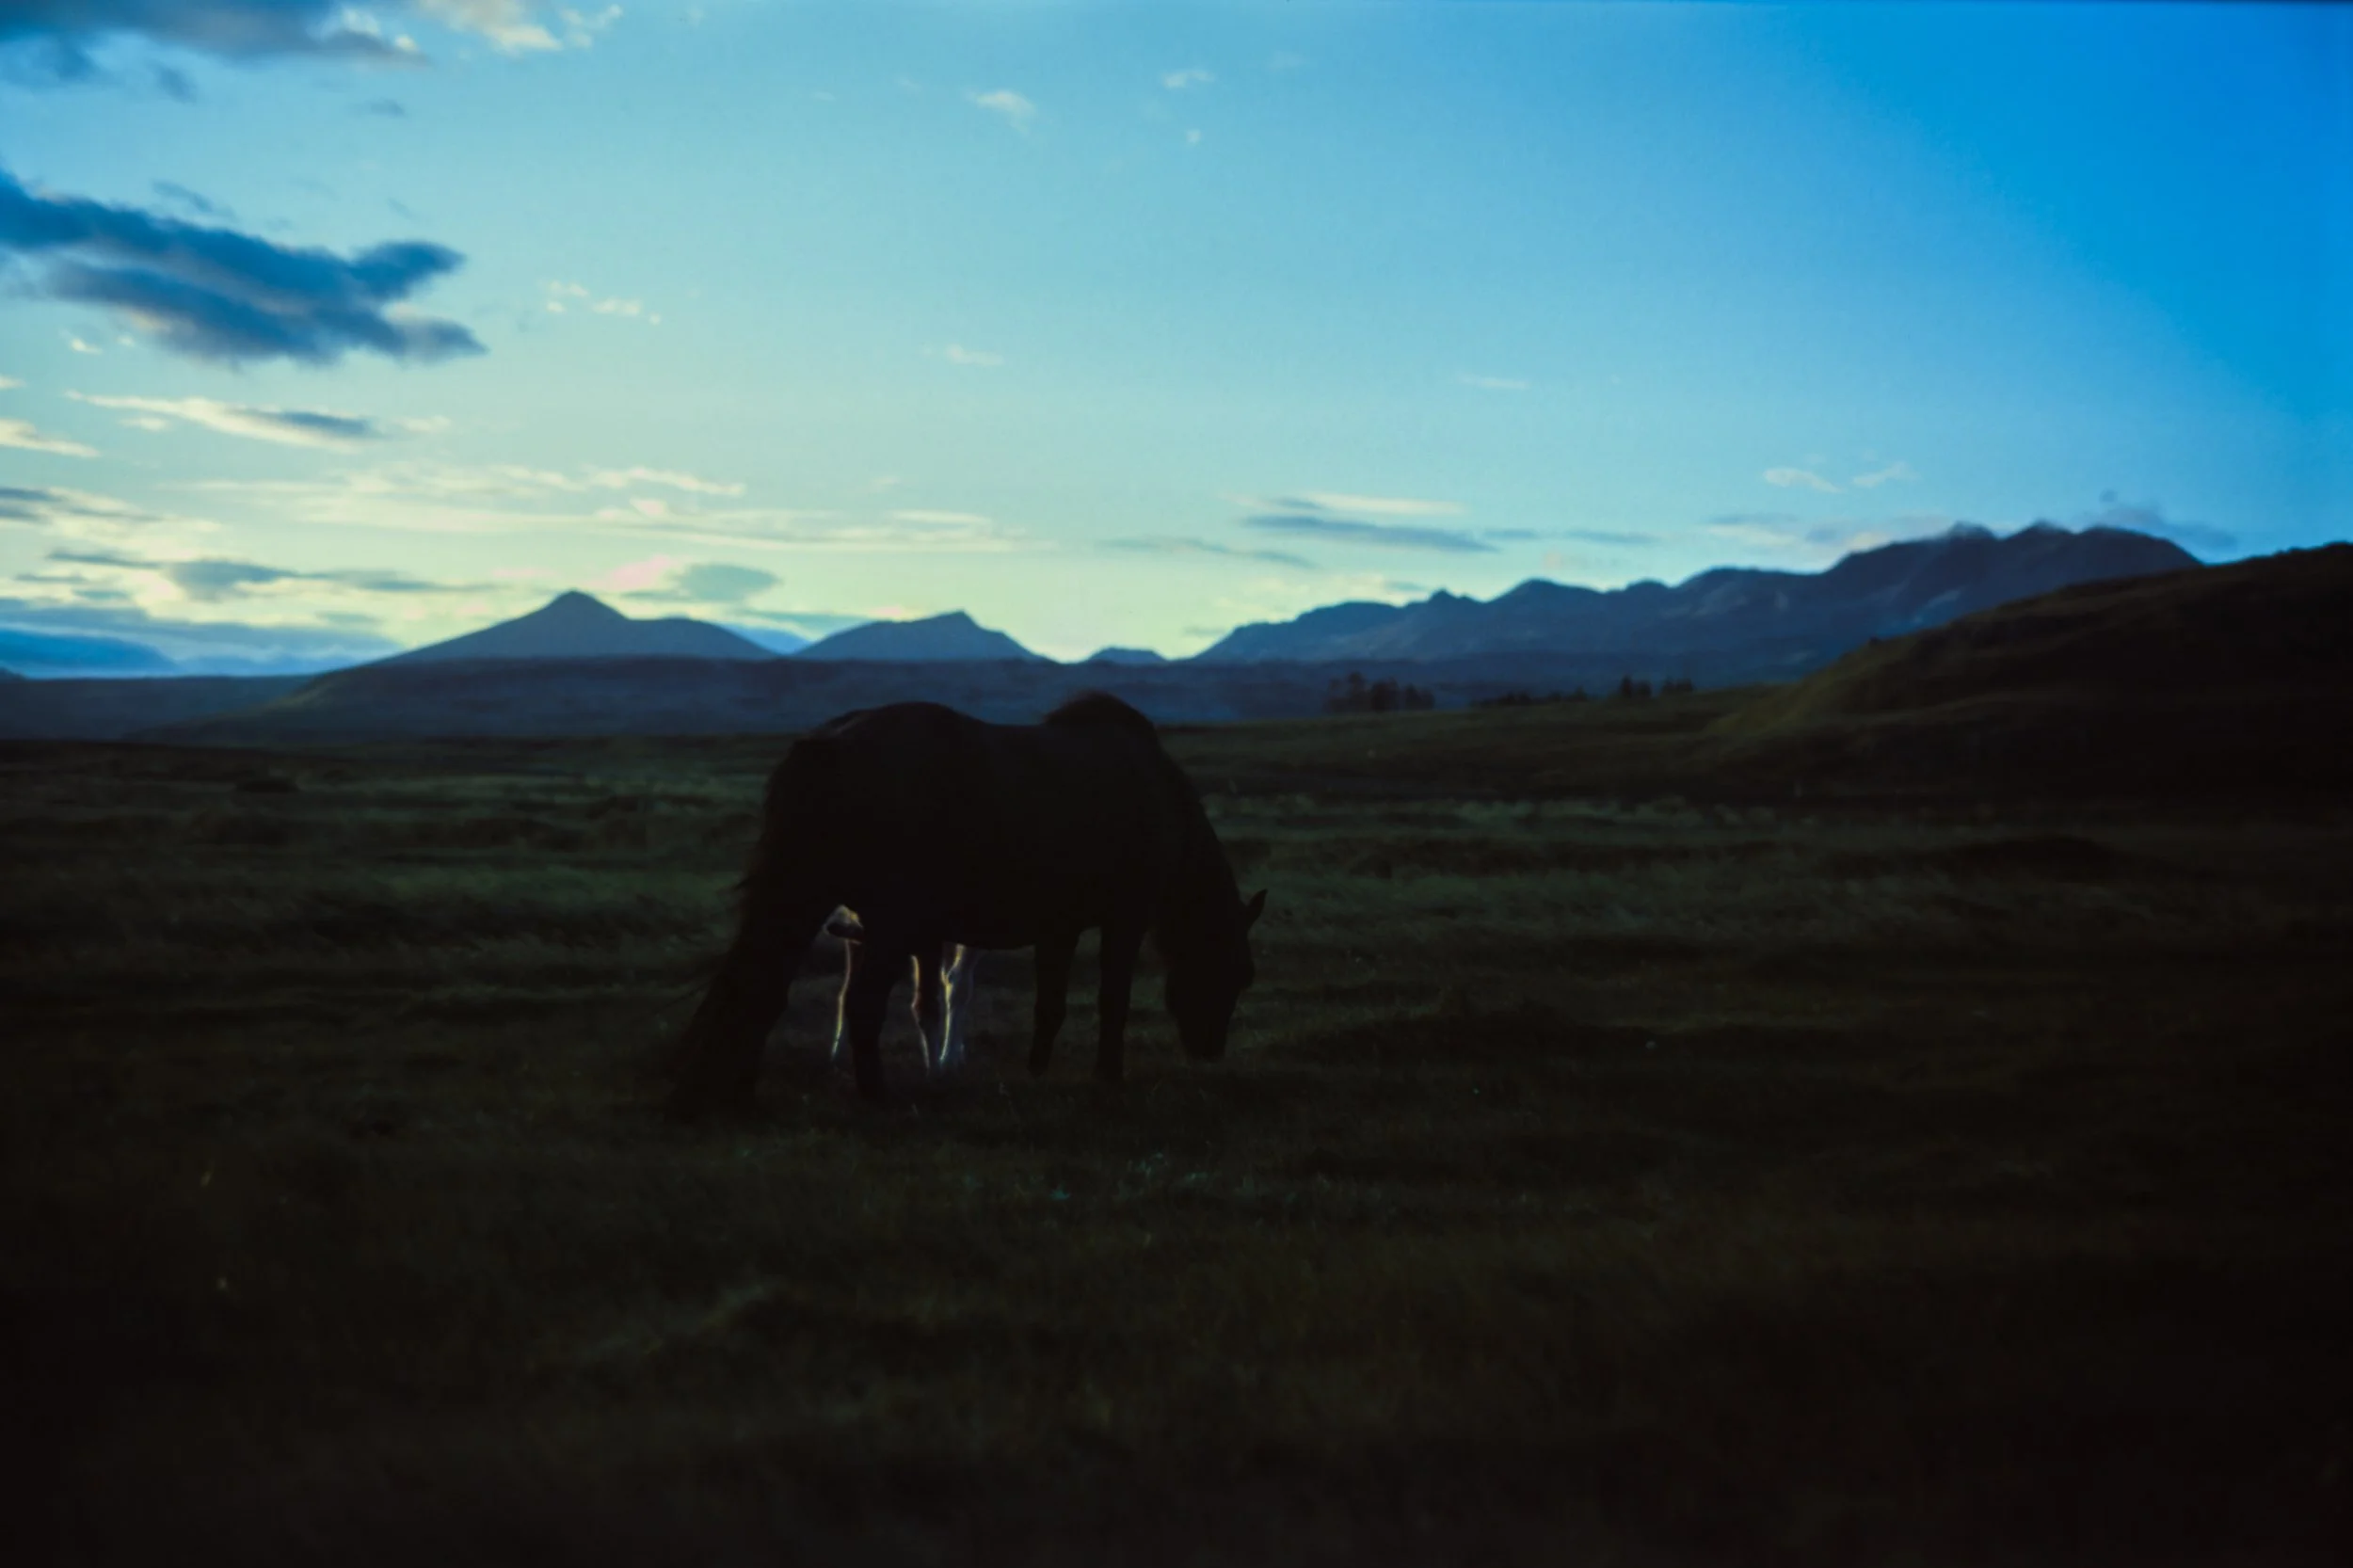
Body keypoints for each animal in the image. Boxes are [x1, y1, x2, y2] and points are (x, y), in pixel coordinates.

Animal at [668, 693, 1266, 1113]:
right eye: (1235, 972)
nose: (1210, 1049)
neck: (1160, 795)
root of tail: (828, 745)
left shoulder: (1060, 926)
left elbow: (1050, 1005)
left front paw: (1037, 1072)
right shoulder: (1126, 918)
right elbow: (1111, 1000)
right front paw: (1108, 1075)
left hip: (803, 897)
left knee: (759, 985)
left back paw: (733, 1089)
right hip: (885, 921)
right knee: (860, 1002)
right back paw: (876, 1094)